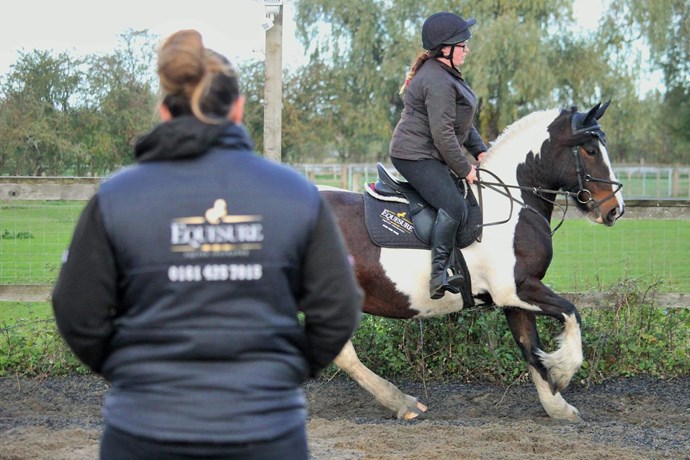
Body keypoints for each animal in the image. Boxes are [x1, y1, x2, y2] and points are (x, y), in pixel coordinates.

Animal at [322, 102, 624, 422]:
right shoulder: (516, 289)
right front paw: (563, 371)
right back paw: (403, 403)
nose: (615, 210)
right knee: (345, 355)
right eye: (590, 150)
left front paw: (558, 406)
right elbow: (571, 313)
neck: (511, 202)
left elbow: (530, 349)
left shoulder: (516, 299)